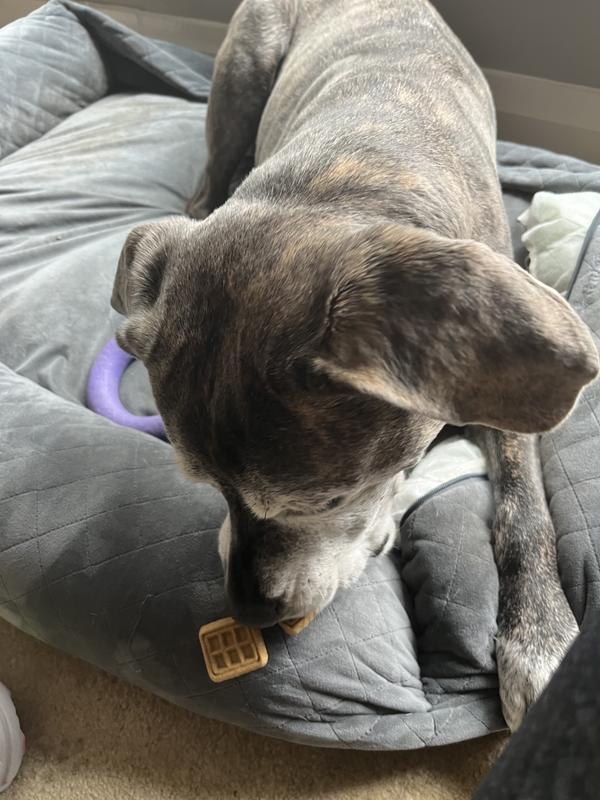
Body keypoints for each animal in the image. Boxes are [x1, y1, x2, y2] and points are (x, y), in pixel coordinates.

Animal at [111, 0, 599, 730]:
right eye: (204, 484)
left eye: (330, 500)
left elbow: (525, 510)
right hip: (243, 74)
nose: (248, 611)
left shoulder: (498, 390)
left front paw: (539, 639)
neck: (343, 178)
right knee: (203, 191)